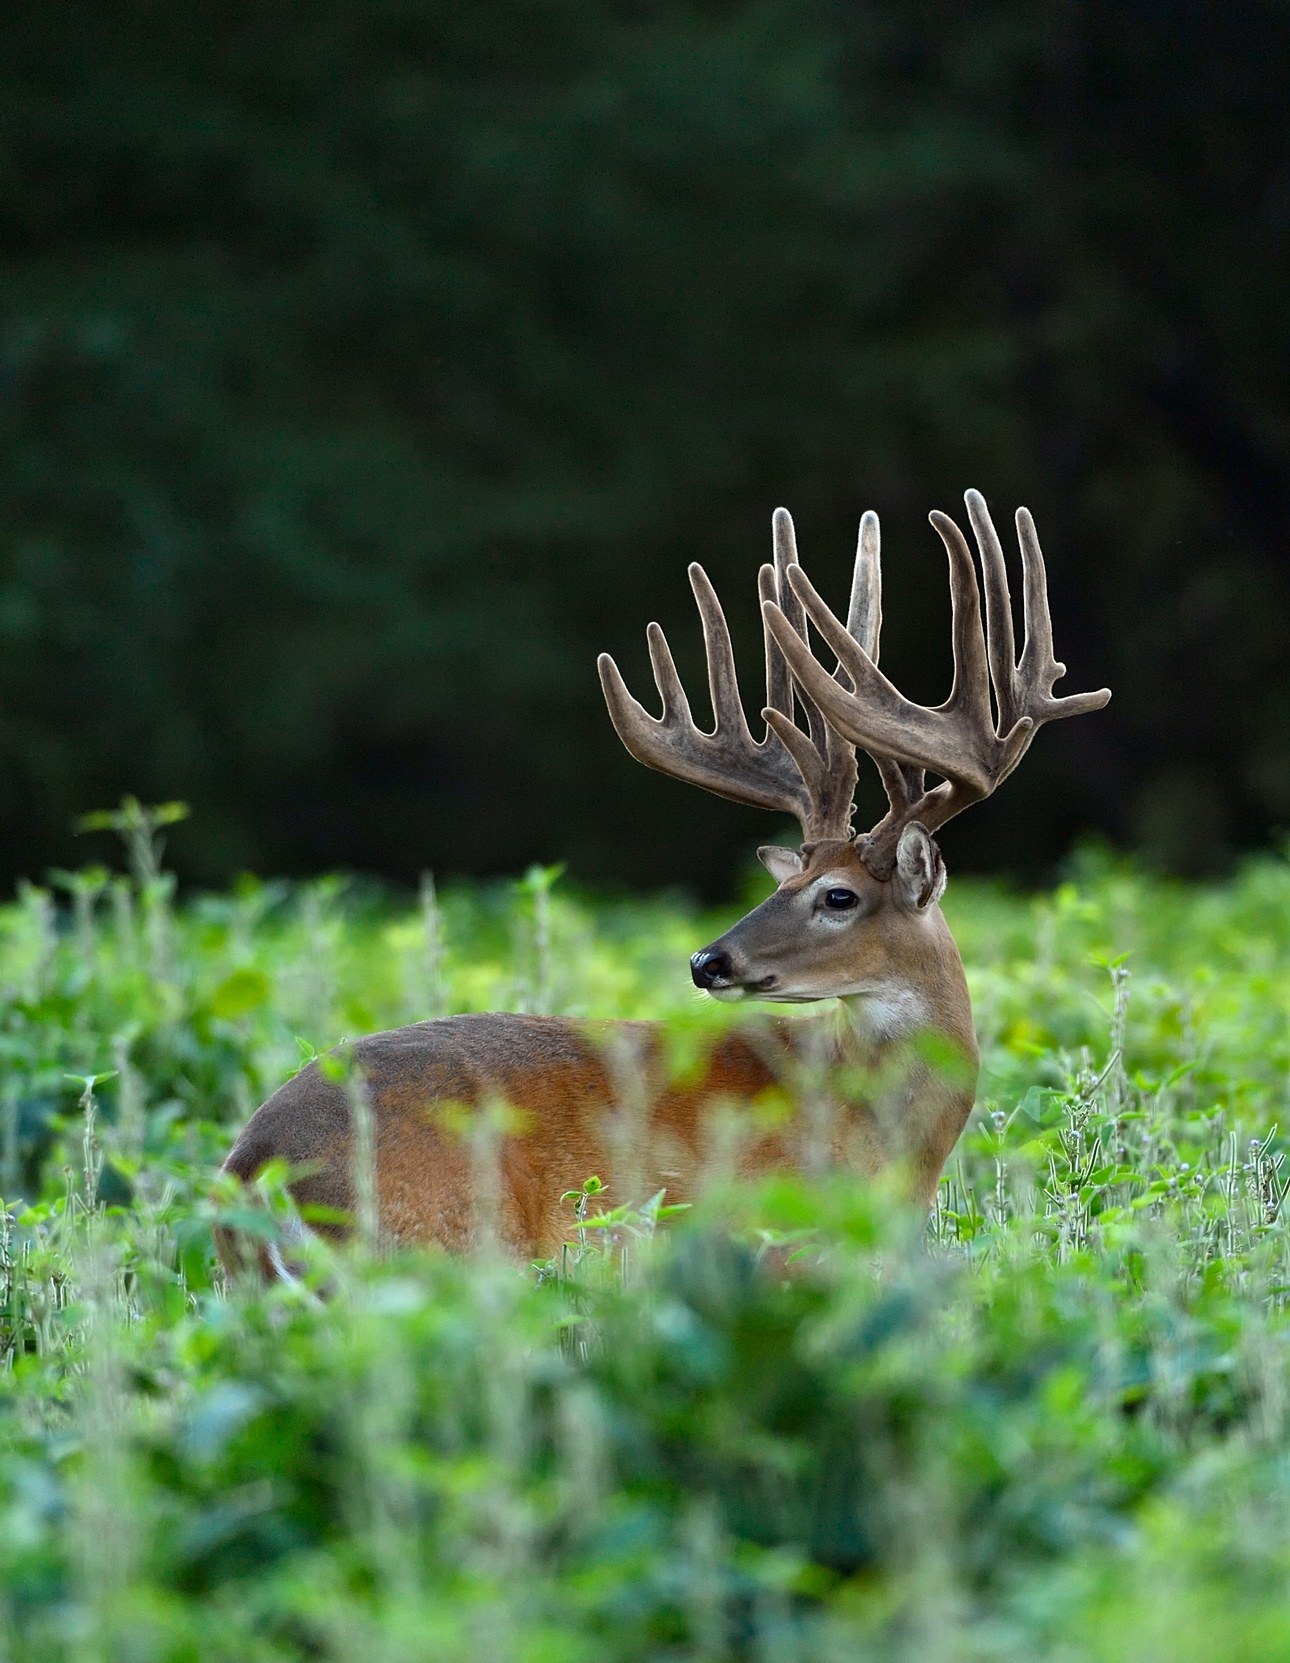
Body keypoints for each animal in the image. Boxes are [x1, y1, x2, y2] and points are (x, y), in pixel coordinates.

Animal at [219, 485, 1110, 1263]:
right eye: (784, 887)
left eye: (837, 894)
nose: (707, 960)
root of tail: (249, 1171)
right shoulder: (774, 1244)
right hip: (447, 1249)